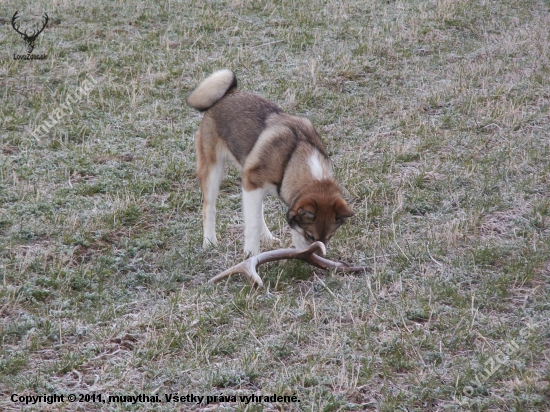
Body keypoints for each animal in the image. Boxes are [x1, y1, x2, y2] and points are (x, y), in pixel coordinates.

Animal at [188, 70, 356, 256]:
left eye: (330, 236)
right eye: (310, 235)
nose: (316, 258)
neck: (292, 158)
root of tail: (229, 93)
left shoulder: (254, 187)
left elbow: (257, 217)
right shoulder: (252, 185)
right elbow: (252, 225)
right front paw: (251, 254)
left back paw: (268, 238)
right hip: (213, 171)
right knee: (209, 207)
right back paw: (209, 242)